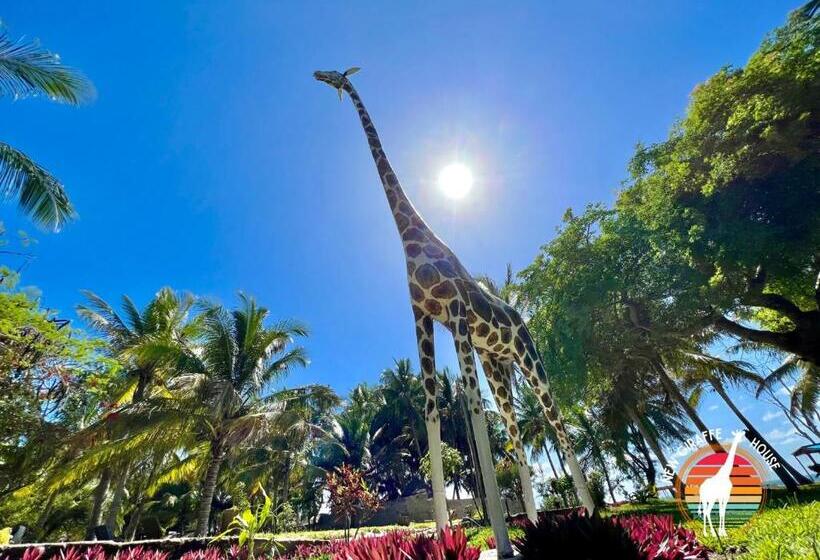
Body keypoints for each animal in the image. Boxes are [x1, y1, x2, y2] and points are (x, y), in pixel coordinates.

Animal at [314, 68, 595, 554]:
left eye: (334, 75)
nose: (318, 74)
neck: (411, 241)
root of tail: (520, 323)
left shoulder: (457, 313)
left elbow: (473, 408)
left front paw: (500, 543)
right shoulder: (423, 319)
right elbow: (431, 414)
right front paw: (444, 537)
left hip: (528, 359)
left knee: (556, 422)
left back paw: (590, 515)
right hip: (496, 363)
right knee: (517, 436)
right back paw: (532, 525)